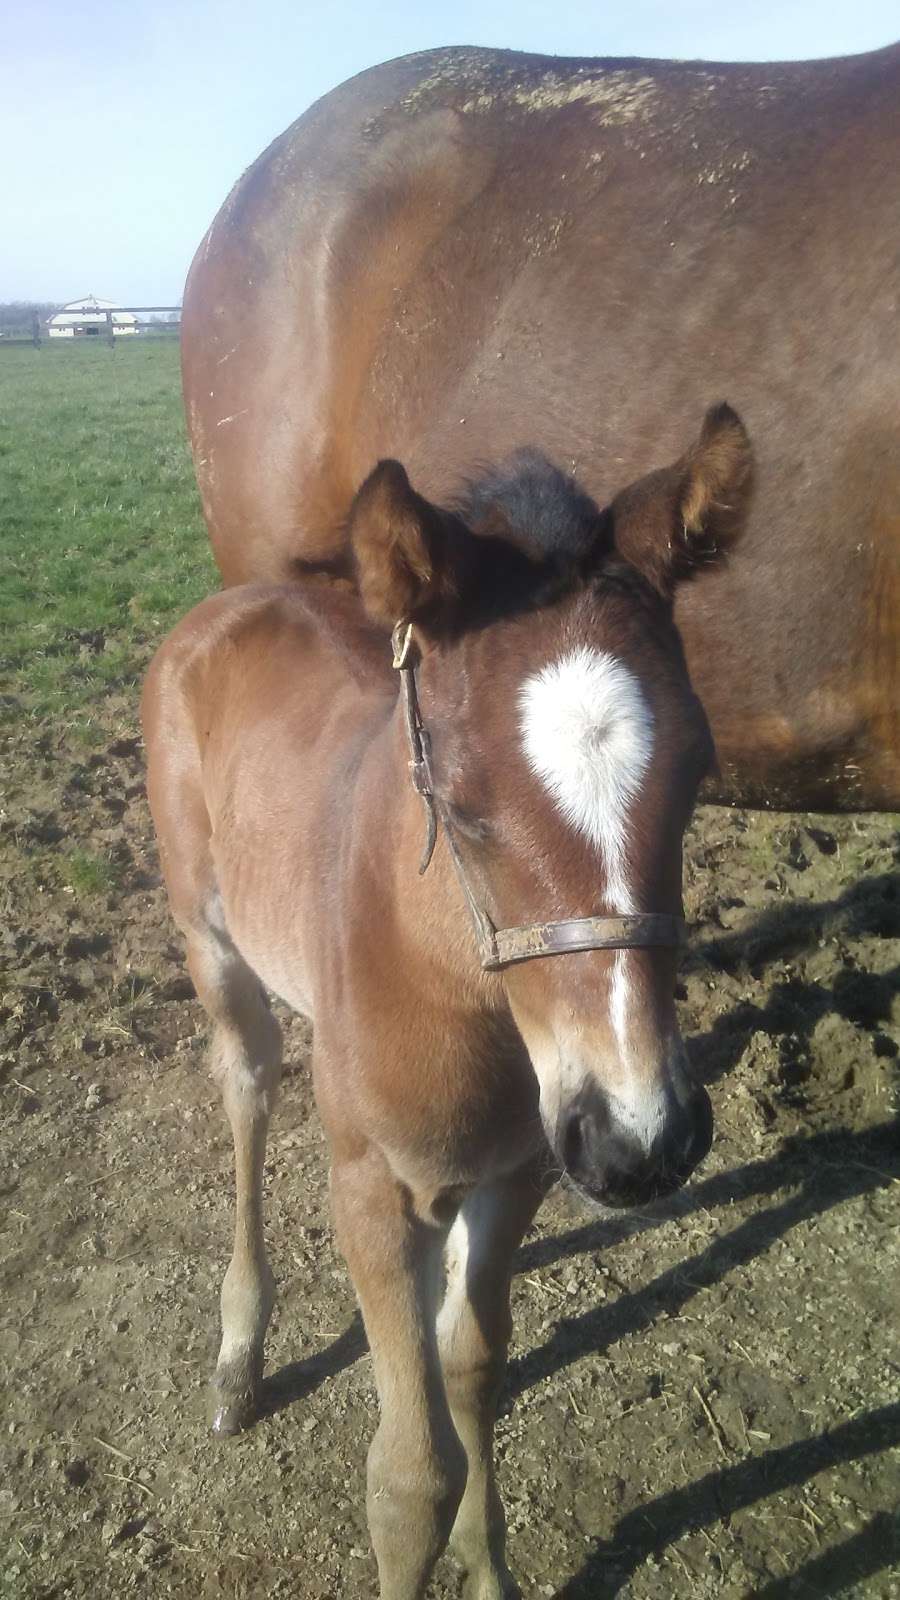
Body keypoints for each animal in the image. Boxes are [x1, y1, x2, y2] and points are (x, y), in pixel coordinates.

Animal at [143, 406, 749, 1593]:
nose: (643, 1139)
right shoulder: (371, 1190)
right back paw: (239, 1353)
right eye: (459, 799)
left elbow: (472, 1370)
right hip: (209, 935)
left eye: (700, 765)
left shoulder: (520, 1170)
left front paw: (490, 1564)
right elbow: (408, 1476)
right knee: (245, 1083)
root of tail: (225, 605)